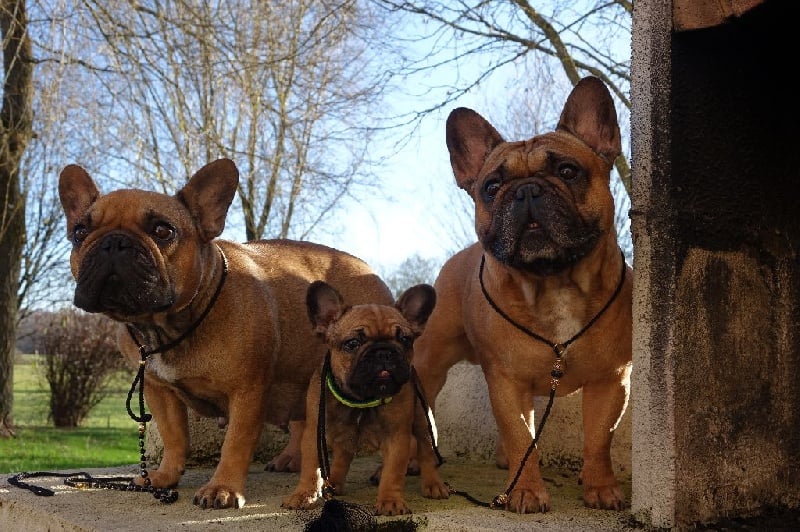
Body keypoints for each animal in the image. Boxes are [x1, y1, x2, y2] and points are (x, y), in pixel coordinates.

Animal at [57, 158, 394, 509]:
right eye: (79, 232)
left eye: (163, 231)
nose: (114, 243)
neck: (166, 326)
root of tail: (368, 270)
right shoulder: (158, 389)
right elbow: (174, 437)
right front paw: (165, 476)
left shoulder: (246, 392)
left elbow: (235, 443)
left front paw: (222, 488)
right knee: (303, 422)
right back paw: (290, 459)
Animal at [281, 281, 449, 515]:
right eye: (352, 343)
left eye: (405, 340)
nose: (384, 351)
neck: (361, 399)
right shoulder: (314, 434)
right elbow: (311, 468)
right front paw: (304, 494)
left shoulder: (397, 438)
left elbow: (393, 472)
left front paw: (390, 501)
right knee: (343, 456)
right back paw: (334, 483)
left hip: (424, 423)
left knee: (427, 454)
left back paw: (433, 484)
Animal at [411, 76, 632, 513]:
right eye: (492, 186)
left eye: (568, 170)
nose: (526, 190)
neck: (553, 281)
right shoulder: (506, 380)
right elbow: (519, 434)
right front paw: (527, 491)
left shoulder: (611, 380)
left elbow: (600, 438)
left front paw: (600, 487)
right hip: (431, 361)